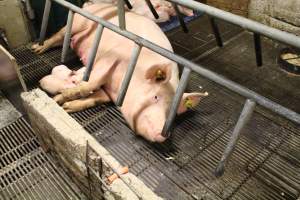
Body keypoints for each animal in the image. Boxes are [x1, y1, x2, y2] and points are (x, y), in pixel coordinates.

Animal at [31, 1, 207, 142]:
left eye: (172, 113)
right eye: (155, 97)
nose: (162, 135)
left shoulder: (110, 92)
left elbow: (98, 97)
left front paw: (67, 107)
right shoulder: (109, 58)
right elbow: (90, 85)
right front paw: (58, 99)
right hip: (78, 21)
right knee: (59, 35)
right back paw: (36, 49)